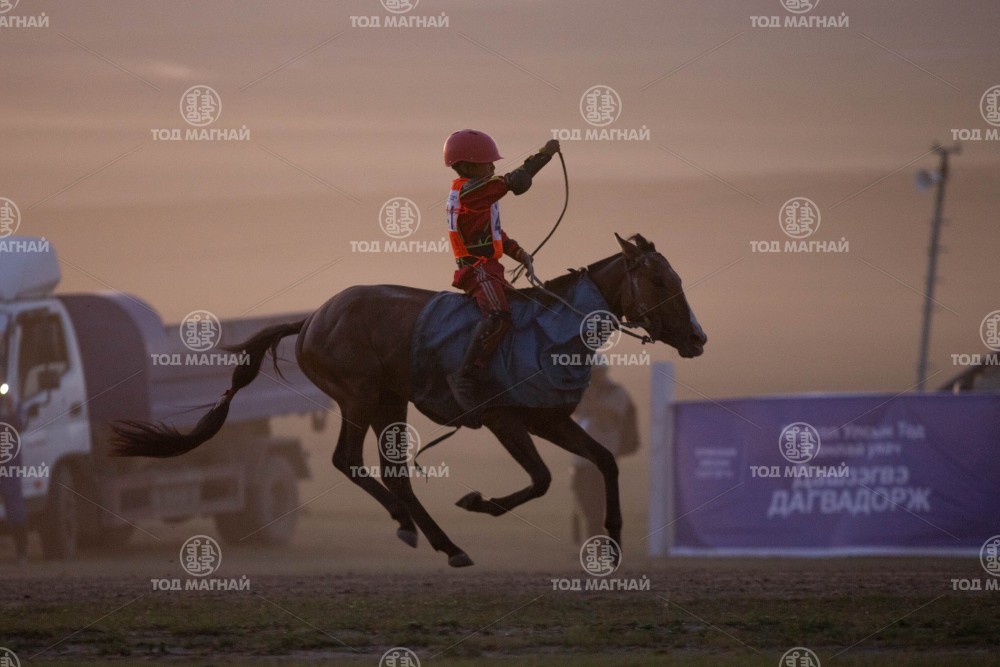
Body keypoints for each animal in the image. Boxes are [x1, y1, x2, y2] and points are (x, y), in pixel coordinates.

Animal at [112, 233, 706, 567]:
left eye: (676, 274)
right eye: (658, 279)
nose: (698, 338)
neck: (547, 329)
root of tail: (311, 320)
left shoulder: (550, 420)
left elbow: (605, 459)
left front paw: (614, 540)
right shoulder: (503, 419)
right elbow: (539, 480)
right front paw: (479, 502)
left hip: (390, 404)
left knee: (394, 474)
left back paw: (441, 541)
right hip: (359, 397)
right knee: (348, 460)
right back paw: (414, 525)